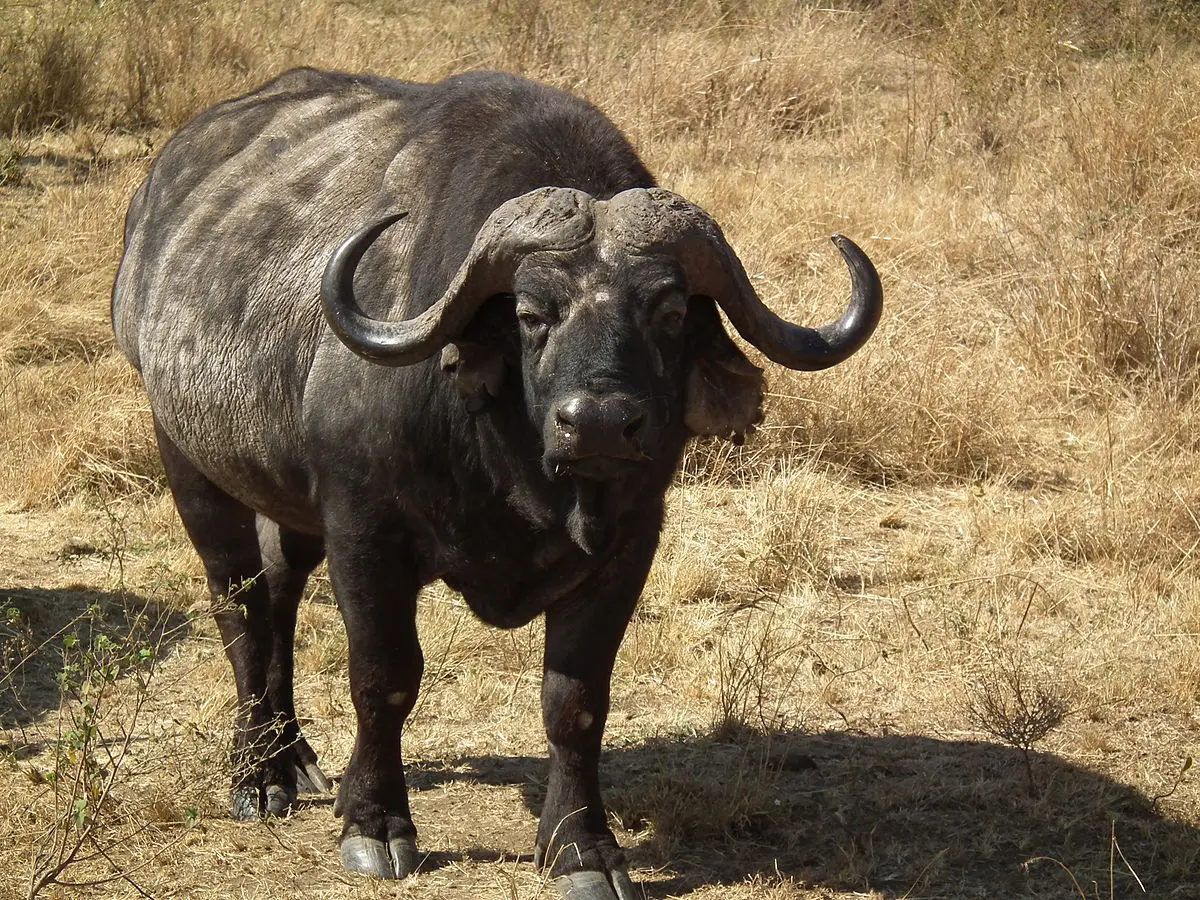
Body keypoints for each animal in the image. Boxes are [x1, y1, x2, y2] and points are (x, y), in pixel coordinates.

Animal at [112, 66, 883, 897]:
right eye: (531, 312)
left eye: (671, 311)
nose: (599, 424)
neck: (511, 465)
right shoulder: (365, 532)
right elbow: (384, 677)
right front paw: (375, 823)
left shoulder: (628, 546)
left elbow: (576, 702)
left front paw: (583, 846)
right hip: (189, 461)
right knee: (241, 604)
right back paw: (258, 774)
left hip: (286, 499)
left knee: (280, 589)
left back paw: (295, 757)